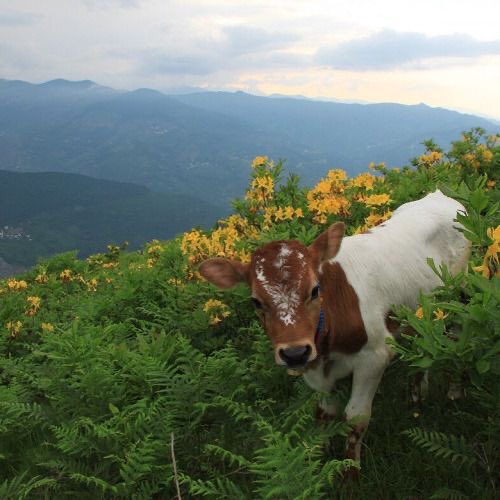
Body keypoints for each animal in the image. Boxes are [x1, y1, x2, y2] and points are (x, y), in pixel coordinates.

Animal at [198, 190, 468, 472]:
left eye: (315, 289)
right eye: (256, 301)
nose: (294, 352)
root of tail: (439, 195)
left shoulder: (374, 357)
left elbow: (355, 418)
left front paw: (350, 471)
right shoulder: (313, 367)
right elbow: (324, 413)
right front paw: (321, 453)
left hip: (460, 294)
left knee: (458, 335)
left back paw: (454, 392)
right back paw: (417, 395)